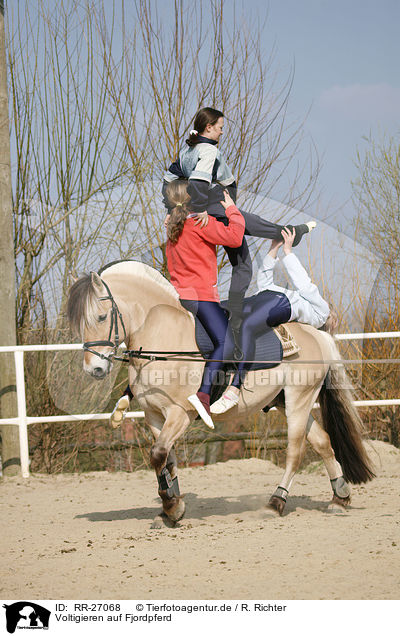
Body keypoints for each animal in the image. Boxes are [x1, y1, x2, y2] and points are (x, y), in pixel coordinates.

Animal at [66, 260, 376, 524]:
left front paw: (171, 505)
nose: (94, 368)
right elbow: (166, 460)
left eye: (101, 316)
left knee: (295, 452)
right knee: (323, 442)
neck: (164, 336)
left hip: (299, 401)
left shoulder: (180, 414)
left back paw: (275, 503)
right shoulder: (154, 416)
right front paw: (172, 509)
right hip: (286, 402)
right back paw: (339, 498)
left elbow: (158, 455)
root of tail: (317, 334)